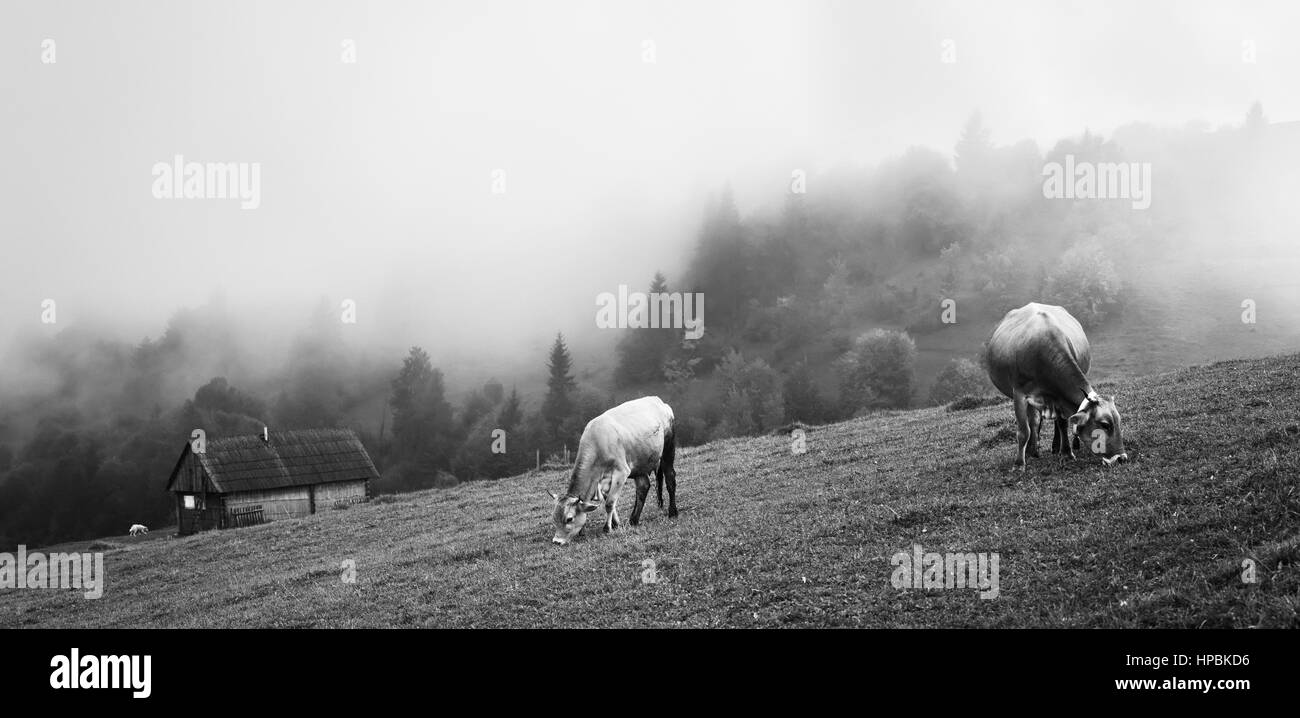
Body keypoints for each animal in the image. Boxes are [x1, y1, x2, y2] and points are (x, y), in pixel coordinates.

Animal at [549, 396, 677, 545]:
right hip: (639, 466)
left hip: (668, 449)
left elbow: (610, 503)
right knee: (643, 487)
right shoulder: (603, 480)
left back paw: (672, 512)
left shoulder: (621, 472)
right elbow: (608, 499)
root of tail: (658, 401)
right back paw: (633, 520)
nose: (557, 541)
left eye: (569, 519)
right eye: (554, 518)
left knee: (670, 478)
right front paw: (616, 523)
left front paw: (607, 528)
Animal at [984, 302, 1128, 469]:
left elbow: (1062, 423)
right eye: (1105, 425)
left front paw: (1066, 453)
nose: (1121, 458)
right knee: (1033, 422)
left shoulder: (1059, 396)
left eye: (1119, 421)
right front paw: (1019, 464)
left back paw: (1056, 447)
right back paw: (1032, 451)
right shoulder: (1019, 393)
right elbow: (1023, 430)